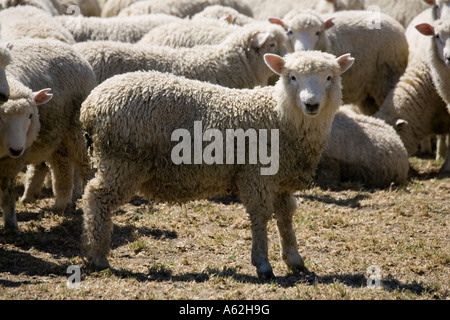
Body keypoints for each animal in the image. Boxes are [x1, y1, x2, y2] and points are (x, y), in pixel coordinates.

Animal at [1, 38, 97, 231]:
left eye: (31, 115)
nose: (16, 150)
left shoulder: (10, 162)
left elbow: (6, 190)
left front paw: (11, 225)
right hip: (55, 136)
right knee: (61, 165)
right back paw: (56, 202)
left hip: (76, 132)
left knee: (85, 167)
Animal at [78, 50, 356, 278]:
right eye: (293, 77)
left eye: (329, 77)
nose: (311, 104)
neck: (278, 115)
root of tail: (91, 103)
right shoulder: (255, 175)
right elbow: (260, 216)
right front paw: (263, 263)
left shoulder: (281, 179)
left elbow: (286, 217)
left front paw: (294, 259)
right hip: (121, 162)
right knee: (95, 198)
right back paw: (98, 255)